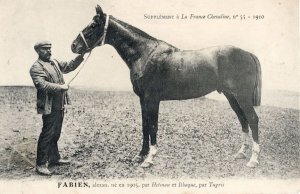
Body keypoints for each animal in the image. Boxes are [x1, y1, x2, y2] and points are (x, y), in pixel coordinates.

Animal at [71, 5, 262, 167]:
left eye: (94, 25)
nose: (73, 46)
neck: (144, 54)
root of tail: (248, 54)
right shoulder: (143, 100)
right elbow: (145, 126)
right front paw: (140, 155)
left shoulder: (152, 99)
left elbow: (153, 126)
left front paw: (150, 158)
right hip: (232, 97)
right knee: (243, 119)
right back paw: (241, 153)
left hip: (242, 96)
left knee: (252, 119)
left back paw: (253, 159)